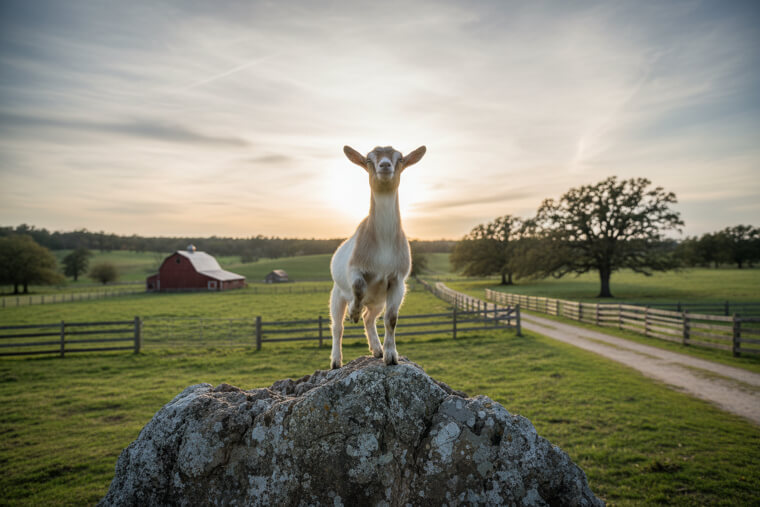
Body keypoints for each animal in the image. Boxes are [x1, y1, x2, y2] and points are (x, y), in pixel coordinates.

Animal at [329, 145, 427, 368]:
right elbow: (358, 286)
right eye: (368, 160)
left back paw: (376, 349)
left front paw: (390, 355)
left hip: (377, 302)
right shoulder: (355, 267)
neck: (383, 242)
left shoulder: (397, 279)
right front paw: (353, 312)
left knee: (369, 318)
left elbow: (391, 319)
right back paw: (336, 360)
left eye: (400, 159)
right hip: (336, 294)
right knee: (337, 326)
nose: (384, 165)